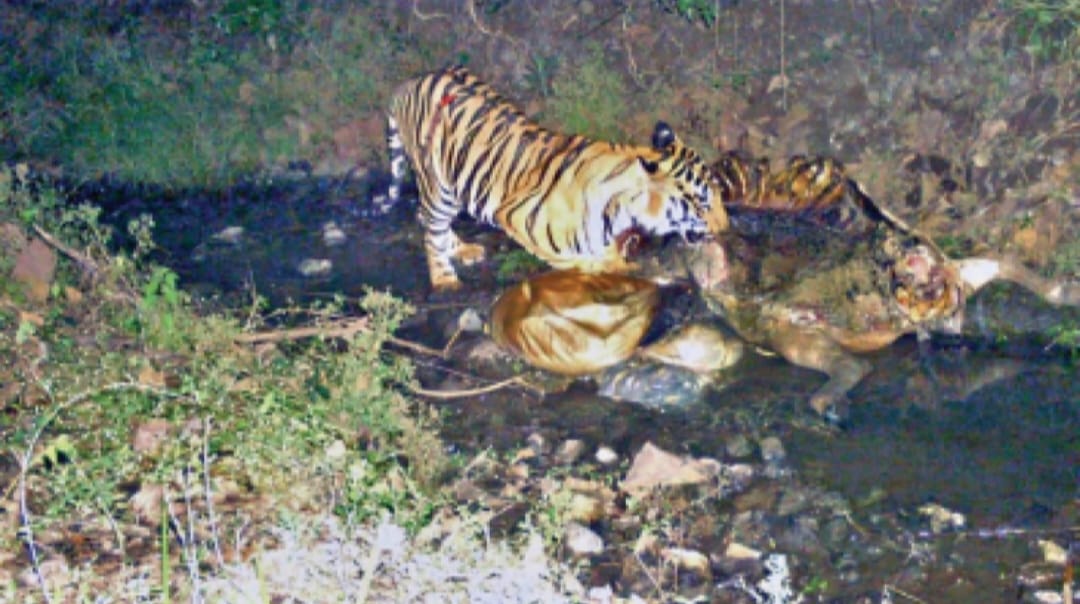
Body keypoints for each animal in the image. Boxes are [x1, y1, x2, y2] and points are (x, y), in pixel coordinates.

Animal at [378, 65, 728, 291]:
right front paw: (596, 268)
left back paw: (464, 249)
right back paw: (443, 278)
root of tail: (409, 83)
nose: (725, 229)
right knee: (430, 226)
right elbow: (567, 258)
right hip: (438, 186)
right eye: (702, 202)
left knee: (426, 217)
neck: (622, 209)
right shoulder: (515, 217)